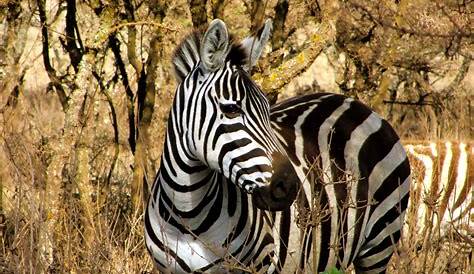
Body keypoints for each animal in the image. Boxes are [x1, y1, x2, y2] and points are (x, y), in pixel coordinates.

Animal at [144, 18, 412, 272]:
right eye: (231, 109)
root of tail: (354, 103)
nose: (290, 186)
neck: (188, 213)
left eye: (266, 108)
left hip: (380, 243)